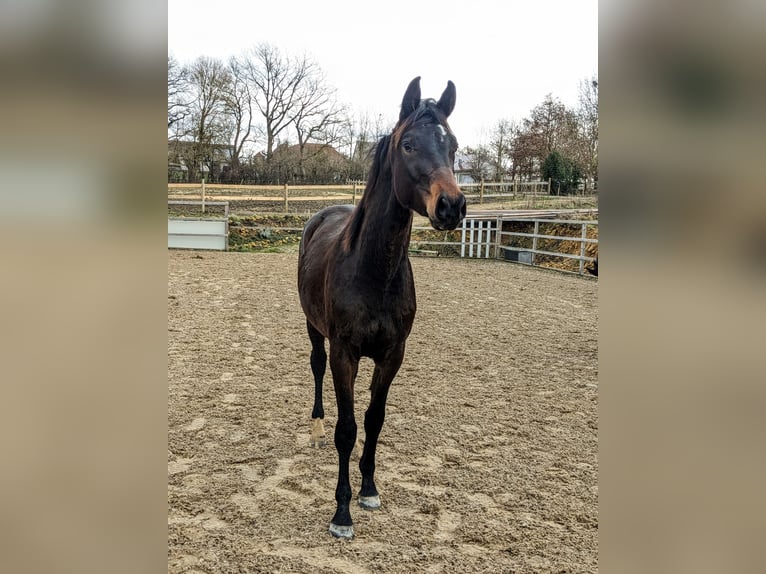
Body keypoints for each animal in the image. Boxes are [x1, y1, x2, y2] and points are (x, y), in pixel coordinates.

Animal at [298, 76, 468, 540]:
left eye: (453, 146)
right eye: (408, 144)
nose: (451, 205)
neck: (373, 271)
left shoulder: (393, 354)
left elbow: (374, 419)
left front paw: (369, 489)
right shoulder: (345, 353)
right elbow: (347, 429)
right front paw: (341, 512)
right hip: (313, 328)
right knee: (316, 367)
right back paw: (315, 427)